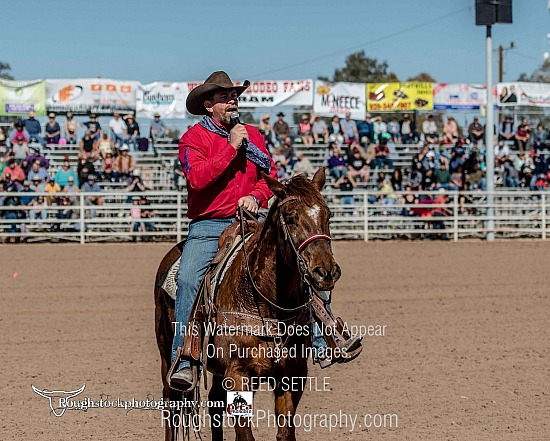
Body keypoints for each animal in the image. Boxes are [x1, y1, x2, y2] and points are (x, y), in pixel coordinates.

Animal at [155, 167, 340, 438]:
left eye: (328, 214)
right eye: (290, 218)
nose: (325, 272)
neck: (268, 305)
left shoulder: (292, 375)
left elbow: (286, 432)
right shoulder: (238, 376)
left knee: (214, 403)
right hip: (167, 353)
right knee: (171, 404)